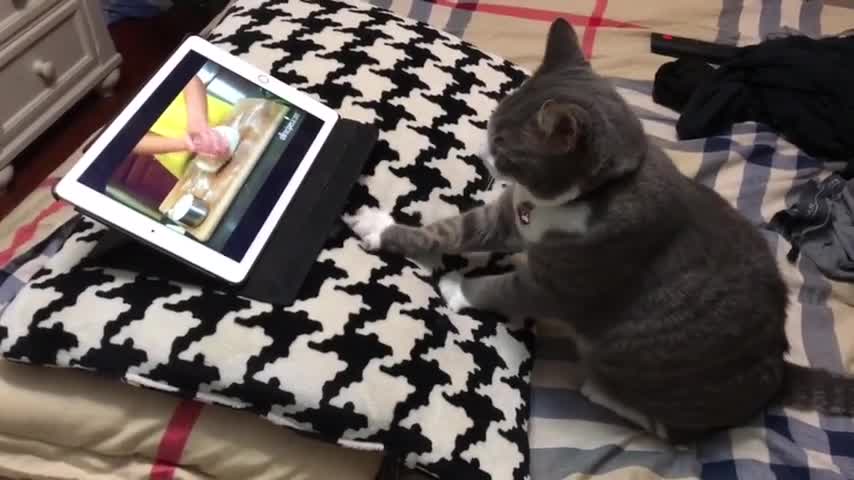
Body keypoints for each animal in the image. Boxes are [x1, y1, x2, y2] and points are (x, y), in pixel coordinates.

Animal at [346, 19, 854, 442]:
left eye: (501, 144)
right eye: (490, 125)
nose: (479, 151)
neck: (578, 199)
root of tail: (778, 372)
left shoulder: (561, 284)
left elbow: (505, 287)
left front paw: (457, 289)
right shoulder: (512, 215)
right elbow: (455, 229)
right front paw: (382, 228)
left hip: (631, 356)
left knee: (669, 430)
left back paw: (600, 391)